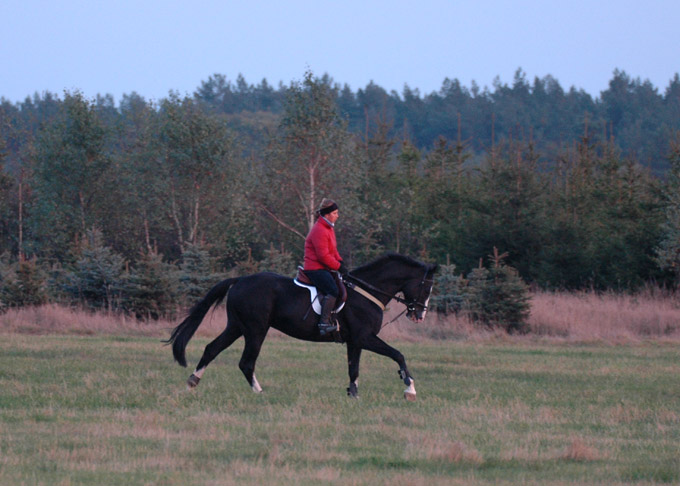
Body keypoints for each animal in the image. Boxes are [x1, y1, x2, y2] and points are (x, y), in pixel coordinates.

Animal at [167, 252, 438, 400]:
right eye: (425, 287)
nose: (419, 316)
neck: (367, 291)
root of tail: (240, 280)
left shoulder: (355, 341)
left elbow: (353, 370)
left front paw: (353, 395)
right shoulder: (366, 337)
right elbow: (398, 355)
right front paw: (410, 388)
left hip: (236, 326)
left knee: (211, 349)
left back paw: (192, 382)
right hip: (255, 329)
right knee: (246, 362)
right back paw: (260, 393)